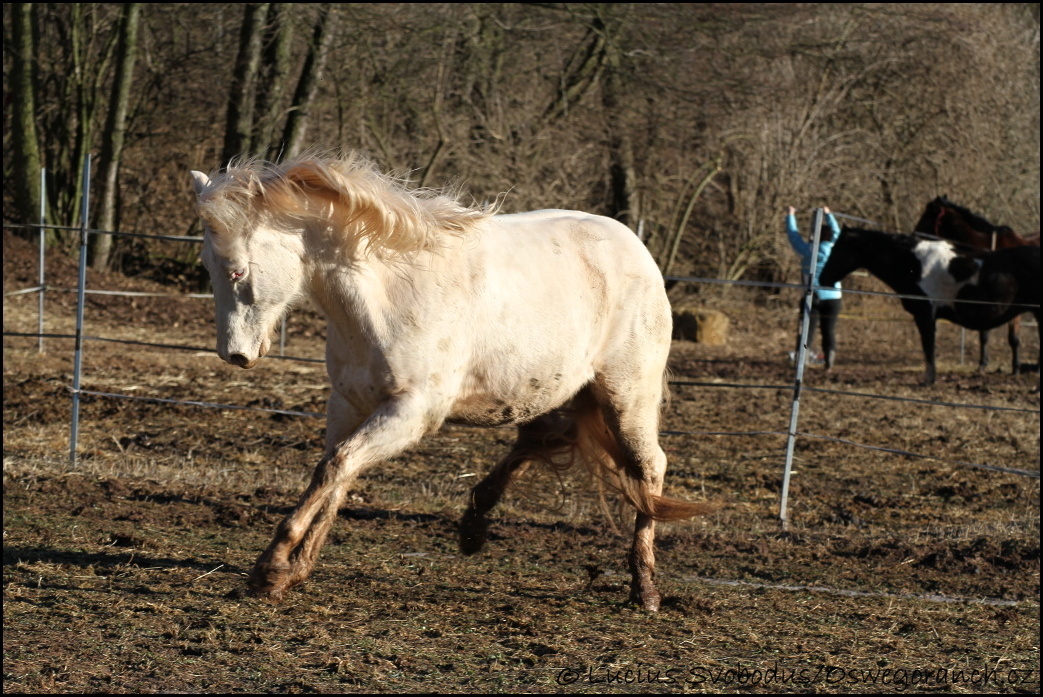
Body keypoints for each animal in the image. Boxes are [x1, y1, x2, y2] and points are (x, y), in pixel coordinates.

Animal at [187, 152, 713, 609]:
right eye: (208, 268)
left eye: (238, 270)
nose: (235, 354)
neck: (385, 296)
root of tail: (636, 249)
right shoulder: (350, 404)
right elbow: (335, 473)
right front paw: (294, 571)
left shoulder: (412, 411)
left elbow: (336, 467)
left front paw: (270, 569)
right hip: (555, 390)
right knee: (540, 439)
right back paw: (474, 525)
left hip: (626, 396)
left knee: (648, 469)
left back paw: (644, 588)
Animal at [817, 227, 1038, 386]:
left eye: (837, 249)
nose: (822, 278)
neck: (914, 263)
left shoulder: (924, 315)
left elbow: (928, 347)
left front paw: (928, 380)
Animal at [913, 196, 1034, 375]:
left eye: (926, 217)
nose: (914, 236)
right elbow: (984, 334)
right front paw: (982, 364)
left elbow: (1013, 338)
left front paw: (1016, 368)